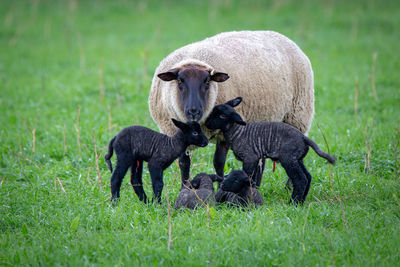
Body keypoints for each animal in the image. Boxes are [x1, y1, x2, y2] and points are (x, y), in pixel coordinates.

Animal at [148, 30, 314, 185]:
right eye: (180, 81)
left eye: (207, 81)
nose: (194, 111)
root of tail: (281, 35)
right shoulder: (179, 133)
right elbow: (184, 163)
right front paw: (186, 187)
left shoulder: (225, 132)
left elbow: (218, 162)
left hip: (297, 117)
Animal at [205, 98, 336, 205]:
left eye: (222, 116)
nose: (206, 123)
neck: (237, 132)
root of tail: (304, 138)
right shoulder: (256, 159)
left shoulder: (250, 158)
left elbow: (248, 175)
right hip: (298, 159)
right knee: (308, 176)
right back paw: (301, 201)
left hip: (289, 159)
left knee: (300, 179)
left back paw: (293, 203)